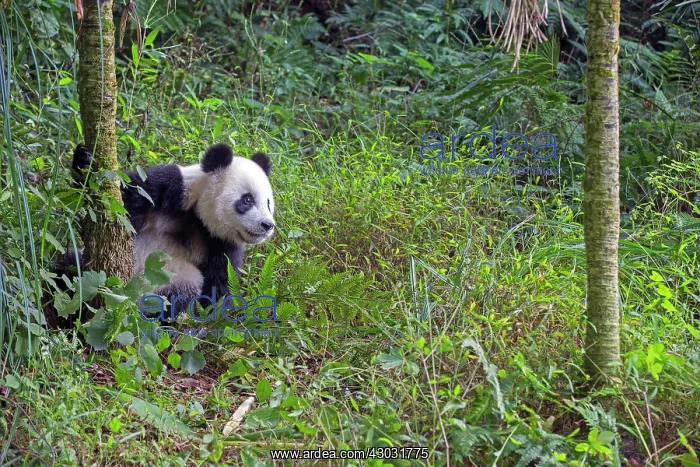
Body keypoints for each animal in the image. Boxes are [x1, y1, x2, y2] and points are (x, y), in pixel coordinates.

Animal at [68, 142, 275, 323]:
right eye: (247, 200)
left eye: (268, 203)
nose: (267, 225)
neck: (197, 217)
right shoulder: (168, 188)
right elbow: (123, 199)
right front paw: (84, 161)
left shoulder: (222, 244)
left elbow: (220, 282)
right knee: (71, 270)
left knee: (176, 297)